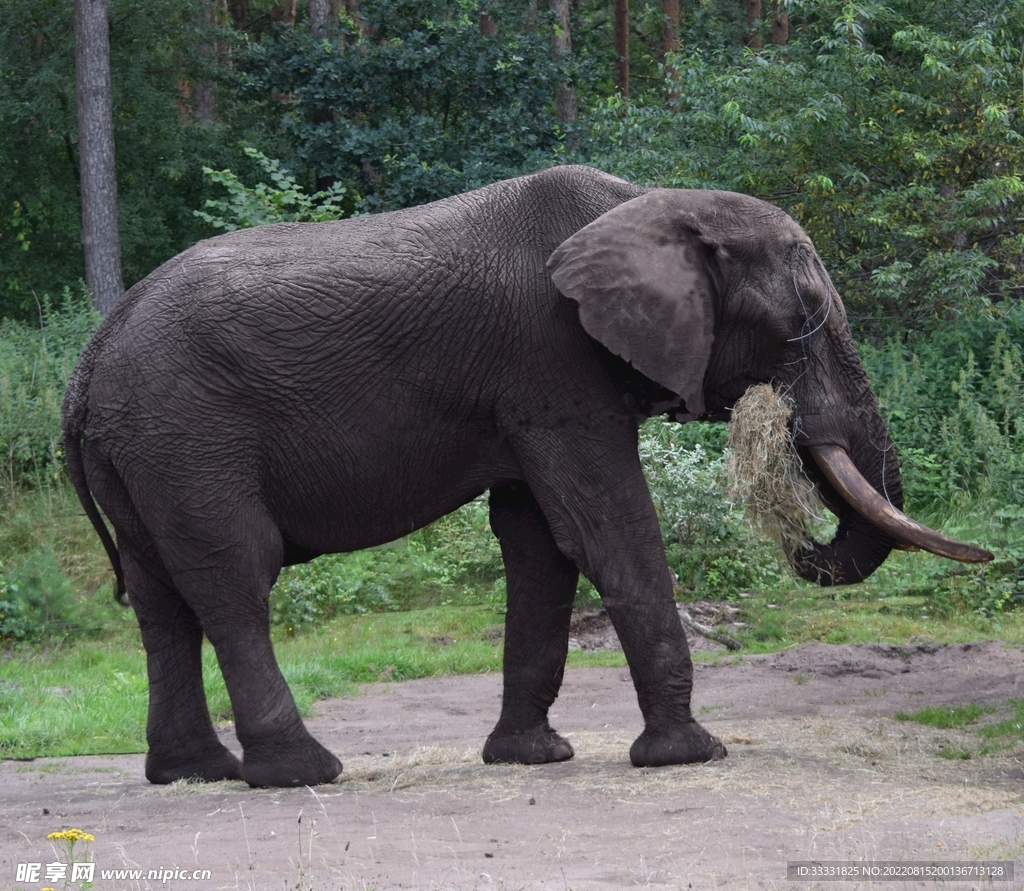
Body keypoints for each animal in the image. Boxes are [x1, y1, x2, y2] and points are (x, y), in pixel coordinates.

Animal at [62, 165, 991, 788]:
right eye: (805, 320)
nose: (797, 516)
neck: (653, 203)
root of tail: (91, 358)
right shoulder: (555, 363)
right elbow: (606, 526)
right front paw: (690, 755)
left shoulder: (530, 392)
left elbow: (540, 543)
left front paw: (531, 759)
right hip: (189, 436)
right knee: (233, 577)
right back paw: (302, 770)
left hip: (143, 449)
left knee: (162, 601)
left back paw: (194, 772)